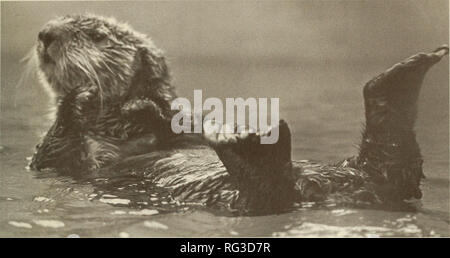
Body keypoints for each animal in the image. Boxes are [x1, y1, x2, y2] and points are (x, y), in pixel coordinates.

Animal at [27, 14, 446, 216]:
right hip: (243, 197)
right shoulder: (62, 161)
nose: (46, 34)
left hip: (362, 175)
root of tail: (323, 192)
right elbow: (53, 153)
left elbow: (177, 120)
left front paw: (146, 107)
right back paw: (250, 146)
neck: (123, 130)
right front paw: (80, 96)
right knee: (266, 192)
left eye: (97, 36)